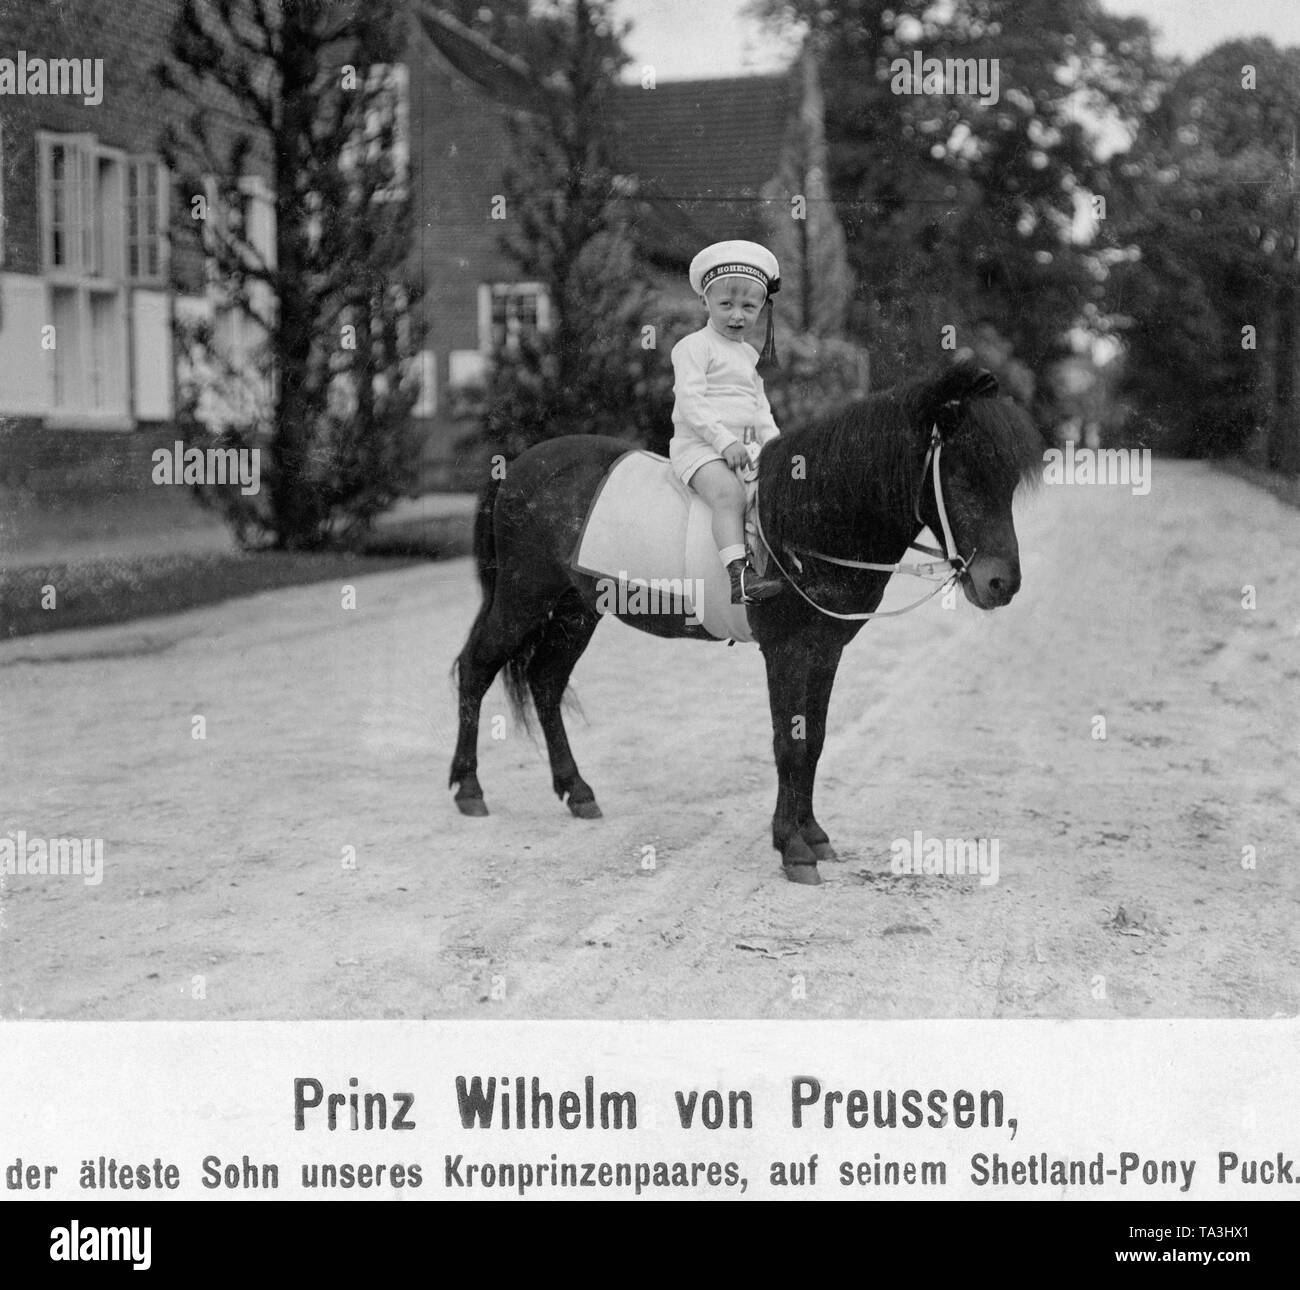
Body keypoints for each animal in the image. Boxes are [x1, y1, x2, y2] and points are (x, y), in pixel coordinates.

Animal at [452, 364, 1040, 884]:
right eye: (963, 474)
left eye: (1009, 480)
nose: (1001, 583)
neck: (806, 518)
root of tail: (518, 466)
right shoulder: (784, 650)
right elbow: (788, 744)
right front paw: (792, 847)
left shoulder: (825, 648)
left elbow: (813, 739)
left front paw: (813, 834)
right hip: (524, 600)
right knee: (477, 670)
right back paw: (469, 790)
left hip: (576, 611)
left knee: (546, 684)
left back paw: (577, 791)